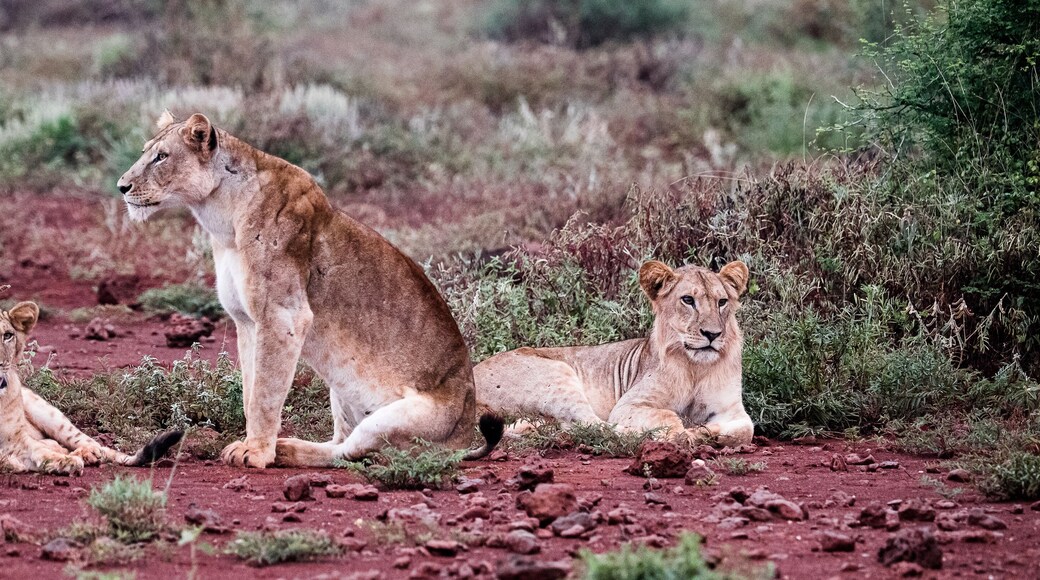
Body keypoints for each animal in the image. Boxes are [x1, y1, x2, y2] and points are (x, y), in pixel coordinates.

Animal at [1, 302, 182, 475]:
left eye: (7, 335)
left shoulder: (17, 439)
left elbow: (40, 450)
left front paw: (67, 461)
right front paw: (12, 463)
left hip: (48, 413)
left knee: (93, 444)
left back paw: (85, 454)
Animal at [116, 111, 502, 468]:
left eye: (162, 156)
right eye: (146, 152)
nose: (121, 186)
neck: (221, 218)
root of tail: (464, 439)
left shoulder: (283, 315)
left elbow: (265, 393)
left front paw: (256, 452)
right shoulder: (247, 321)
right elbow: (251, 390)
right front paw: (256, 445)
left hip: (397, 419)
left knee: (354, 453)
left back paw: (288, 450)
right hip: (341, 389)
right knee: (341, 444)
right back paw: (289, 448)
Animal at [474, 260, 754, 447]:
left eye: (722, 302)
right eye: (688, 300)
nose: (712, 334)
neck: (696, 368)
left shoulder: (731, 407)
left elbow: (746, 429)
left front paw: (708, 431)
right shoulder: (629, 405)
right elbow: (668, 417)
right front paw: (689, 432)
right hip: (557, 375)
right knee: (592, 426)